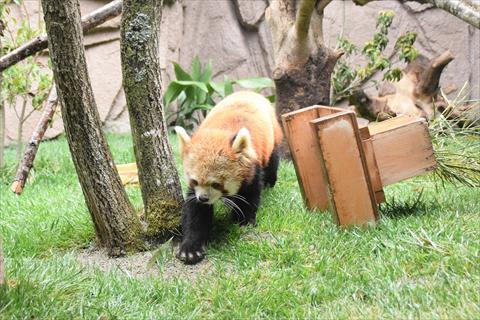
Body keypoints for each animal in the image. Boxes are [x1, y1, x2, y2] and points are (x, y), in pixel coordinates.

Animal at [174, 90, 284, 264]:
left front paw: (243, 221)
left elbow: (249, 196)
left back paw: (269, 183)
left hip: (274, 136)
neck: (221, 131)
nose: (203, 198)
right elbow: (195, 213)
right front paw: (191, 248)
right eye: (195, 181)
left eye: (216, 184)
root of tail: (249, 92)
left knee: (273, 162)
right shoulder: (195, 192)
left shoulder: (252, 167)